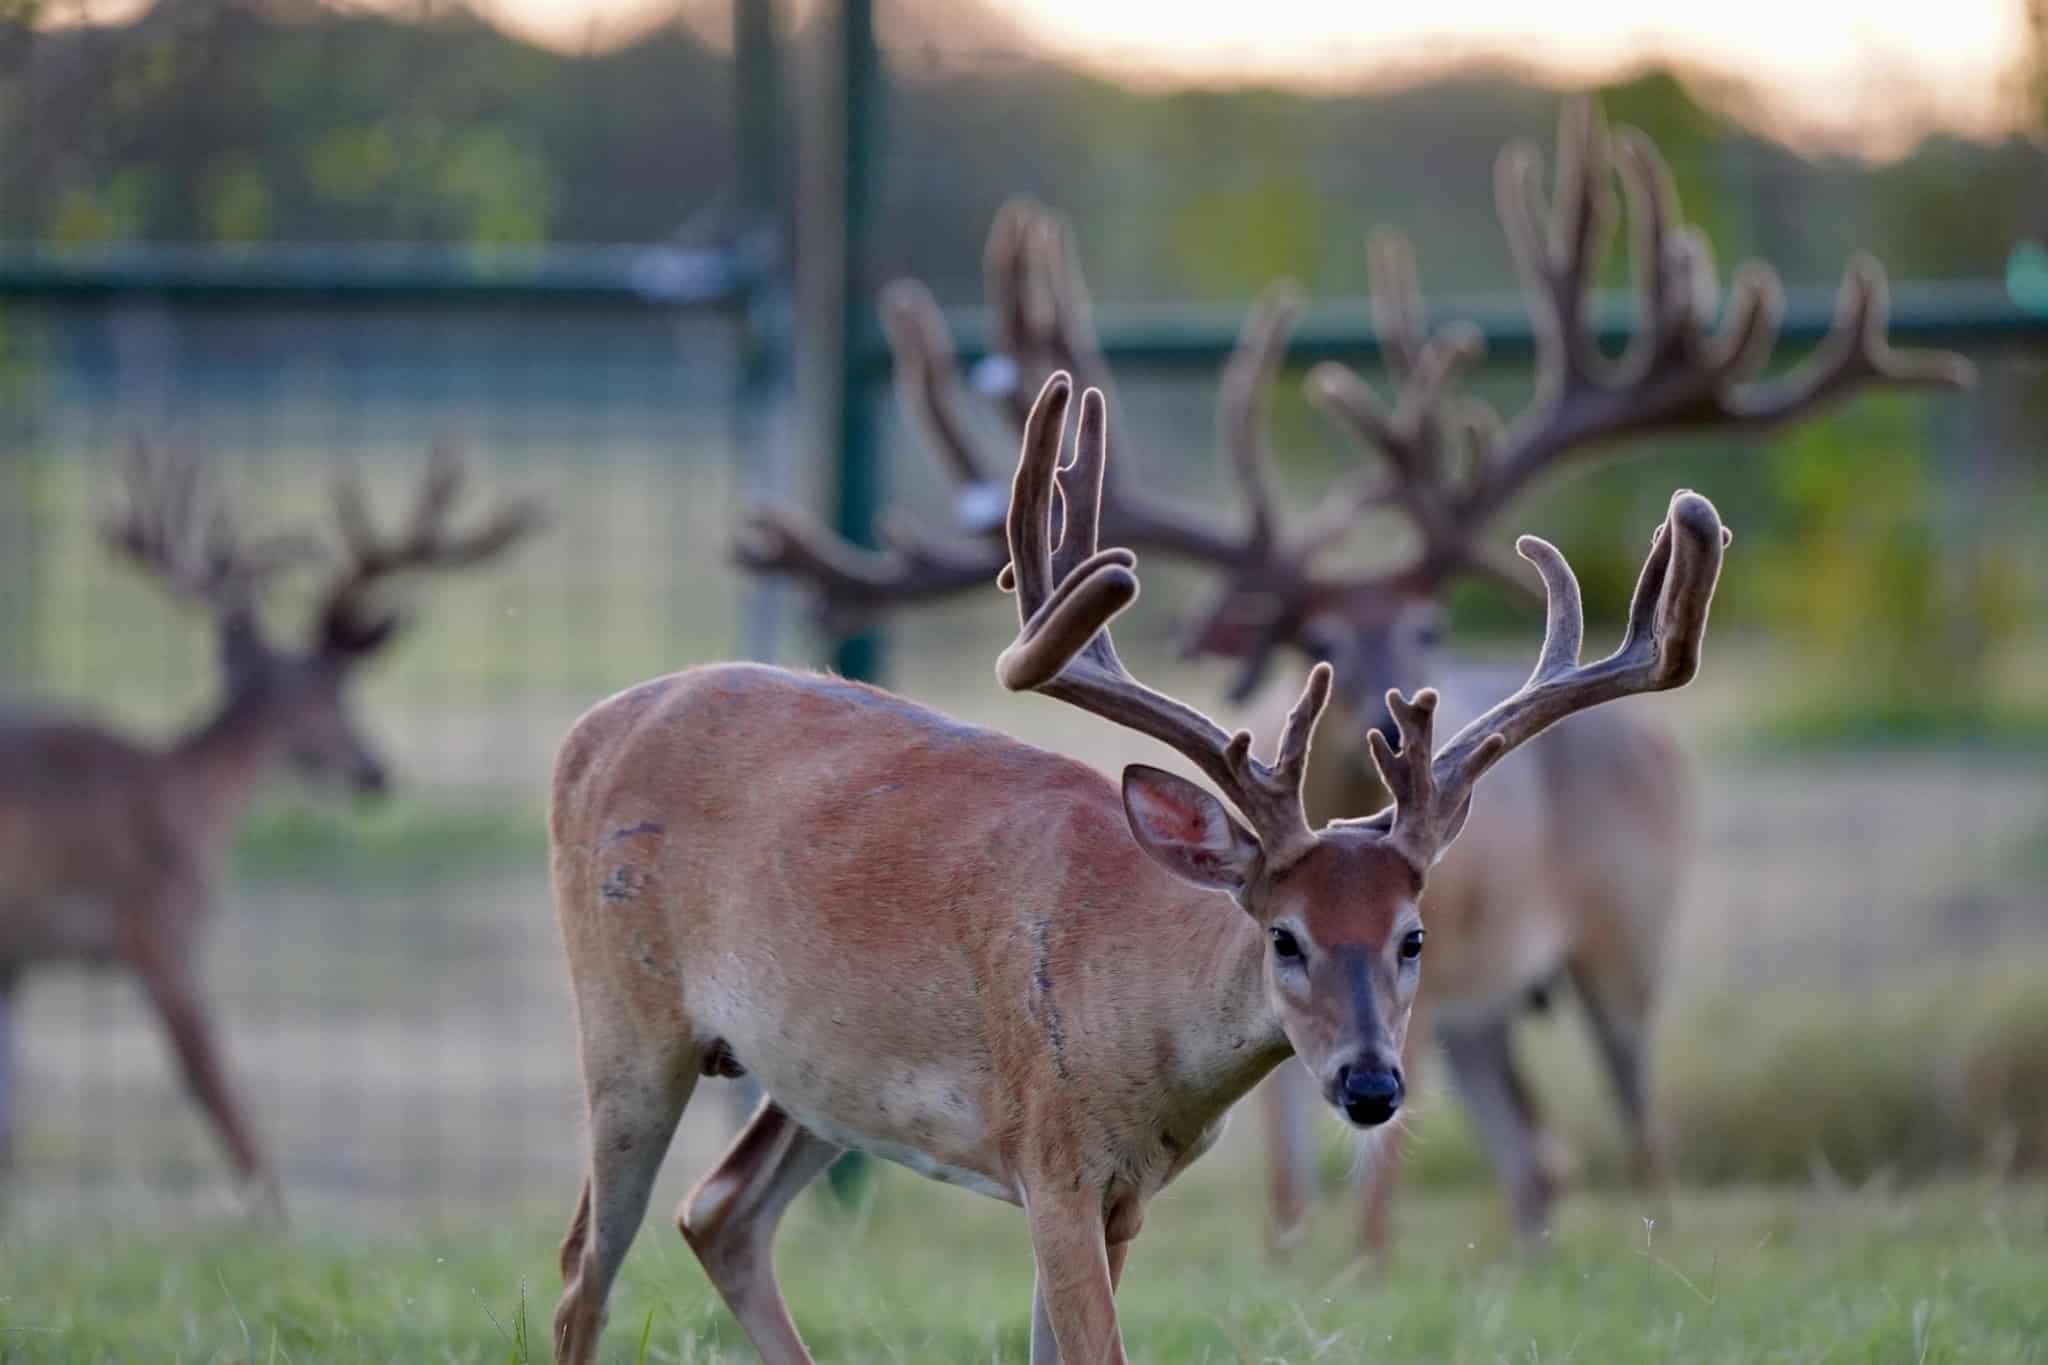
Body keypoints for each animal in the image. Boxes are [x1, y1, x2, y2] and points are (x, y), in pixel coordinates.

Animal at [0, 441, 541, 1210]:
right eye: (338, 690)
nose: (378, 772)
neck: (183, 794)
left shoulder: (17, 959)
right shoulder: (157, 927)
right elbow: (220, 1095)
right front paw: (277, 1219)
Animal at [550, 365, 1731, 1364]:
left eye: (1414, 936)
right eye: (1283, 936)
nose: (1369, 1084)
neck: (1138, 993)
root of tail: (588, 731)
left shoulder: (1119, 1192)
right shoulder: (1052, 1156)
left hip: (807, 1074)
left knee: (718, 1212)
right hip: (626, 1022)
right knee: (584, 1268)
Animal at [736, 100, 1970, 1255]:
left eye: (1428, 620)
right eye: (1306, 634)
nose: (1388, 707)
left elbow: (1376, 1175)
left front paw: (1365, 1266)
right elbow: (1292, 1164)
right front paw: (1294, 1258)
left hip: (1626, 938)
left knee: (1635, 1124)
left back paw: (1636, 1245)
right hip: (1491, 1015)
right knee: (1537, 1155)